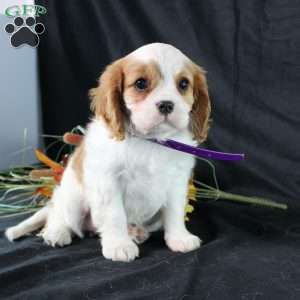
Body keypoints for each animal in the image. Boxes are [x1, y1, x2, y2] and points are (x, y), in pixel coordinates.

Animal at [5, 43, 211, 262]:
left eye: (183, 84)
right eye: (140, 83)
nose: (166, 104)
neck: (151, 141)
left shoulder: (177, 181)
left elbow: (174, 211)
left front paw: (179, 238)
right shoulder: (108, 181)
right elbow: (115, 214)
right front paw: (119, 245)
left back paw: (135, 231)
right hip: (73, 198)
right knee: (60, 216)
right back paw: (56, 232)